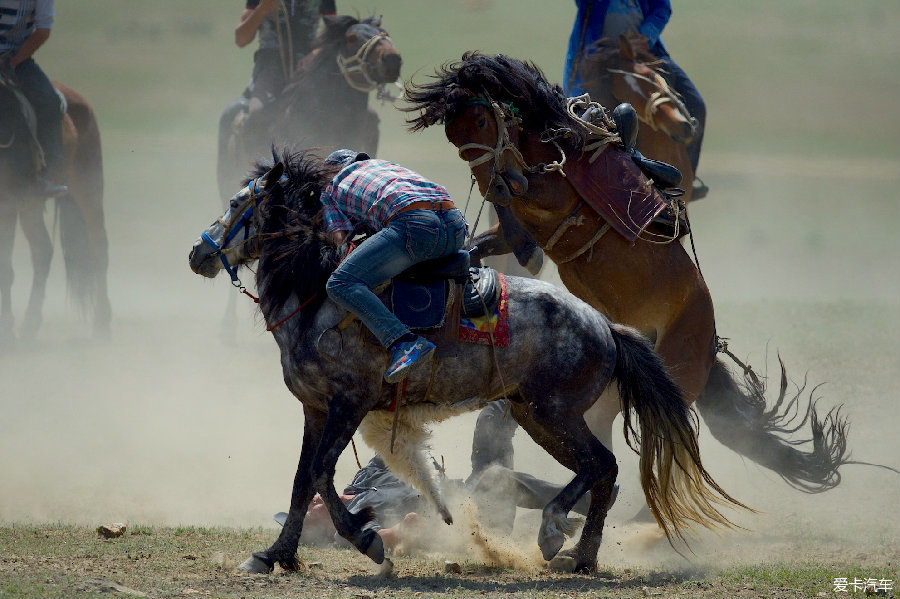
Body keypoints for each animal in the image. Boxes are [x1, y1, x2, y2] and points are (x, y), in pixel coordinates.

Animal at [0, 66, 111, 346]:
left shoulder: (8, 203)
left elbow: (5, 269)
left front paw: (6, 331)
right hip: (31, 204)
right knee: (42, 250)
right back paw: (30, 325)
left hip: (88, 188)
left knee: (99, 249)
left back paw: (102, 323)